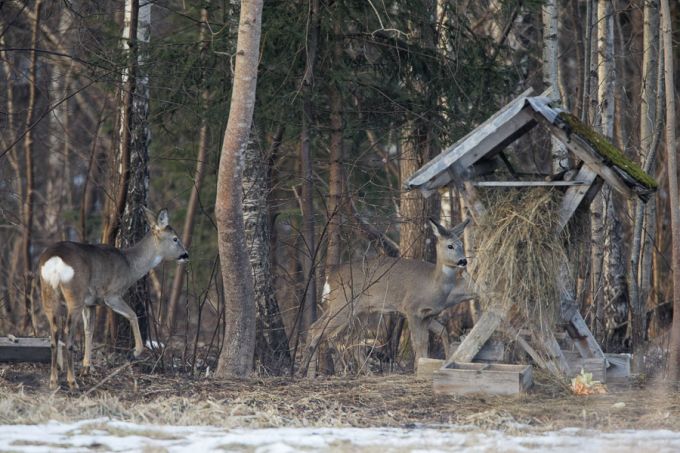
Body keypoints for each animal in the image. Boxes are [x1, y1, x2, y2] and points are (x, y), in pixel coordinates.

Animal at [39, 208, 189, 388]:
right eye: (175, 239)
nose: (186, 255)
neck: (130, 266)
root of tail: (55, 262)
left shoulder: (90, 303)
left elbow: (89, 330)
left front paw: (87, 367)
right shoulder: (111, 295)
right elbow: (133, 315)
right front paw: (135, 351)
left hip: (48, 293)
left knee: (54, 333)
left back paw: (54, 381)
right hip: (74, 294)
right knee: (68, 332)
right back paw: (72, 381)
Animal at [302, 216, 478, 374]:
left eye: (461, 245)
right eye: (450, 246)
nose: (463, 261)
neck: (433, 285)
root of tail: (331, 276)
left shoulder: (427, 315)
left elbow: (428, 339)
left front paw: (423, 365)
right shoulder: (411, 308)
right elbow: (418, 342)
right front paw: (418, 370)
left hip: (360, 311)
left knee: (340, 336)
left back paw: (364, 373)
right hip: (344, 303)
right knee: (318, 330)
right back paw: (307, 372)